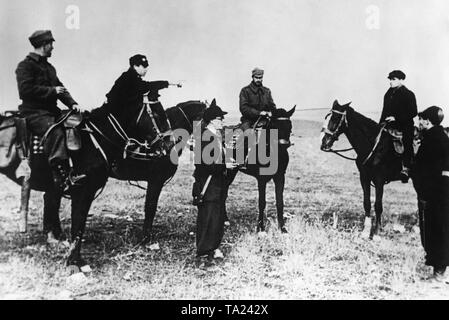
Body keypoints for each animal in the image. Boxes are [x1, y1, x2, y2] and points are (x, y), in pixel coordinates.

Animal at [0, 100, 206, 268]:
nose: (167, 146)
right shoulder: (155, 181)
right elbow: (150, 208)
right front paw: (146, 239)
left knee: (50, 199)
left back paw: (55, 235)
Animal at [320, 100, 412, 238]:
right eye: (327, 117)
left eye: (336, 118)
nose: (324, 142)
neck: (373, 146)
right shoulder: (364, 177)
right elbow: (367, 203)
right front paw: (365, 231)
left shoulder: (379, 180)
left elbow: (378, 205)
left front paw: (377, 233)